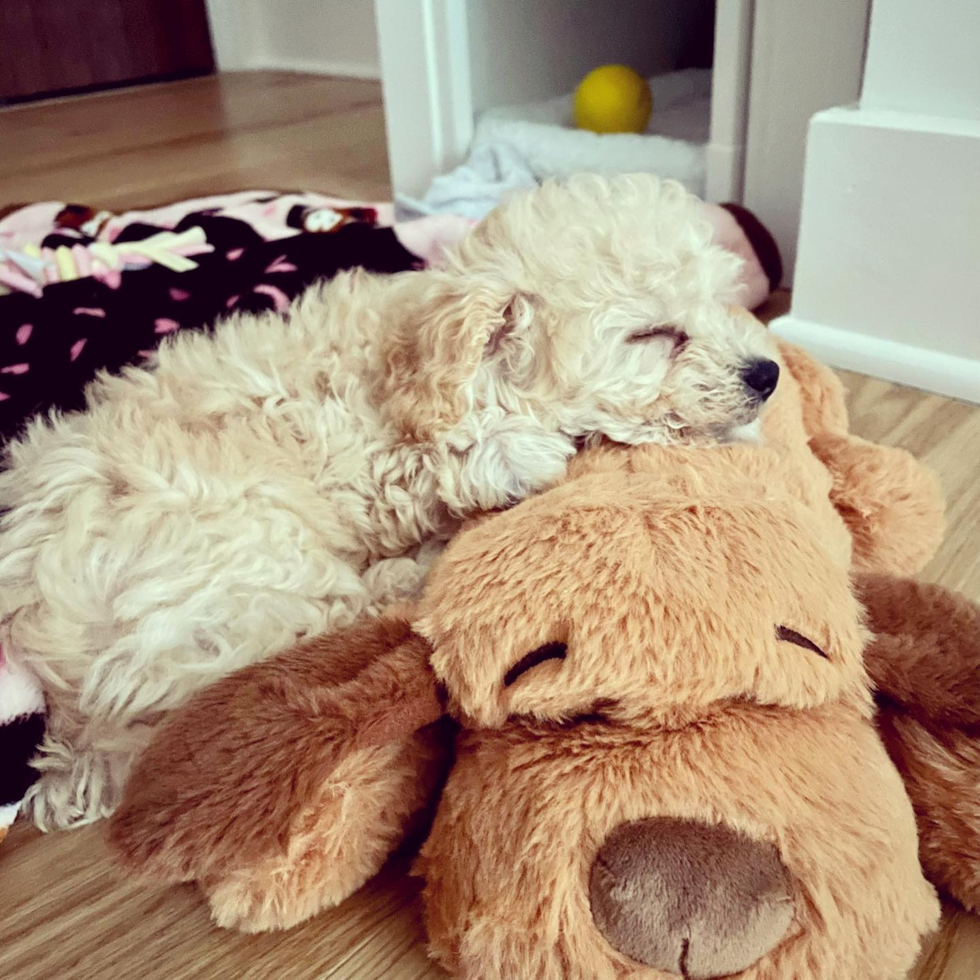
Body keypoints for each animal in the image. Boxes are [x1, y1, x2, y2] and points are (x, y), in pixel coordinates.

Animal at [0, 174, 780, 828]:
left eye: (721, 301)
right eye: (653, 335)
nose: (768, 373)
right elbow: (478, 454)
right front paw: (528, 453)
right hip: (247, 551)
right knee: (320, 622)